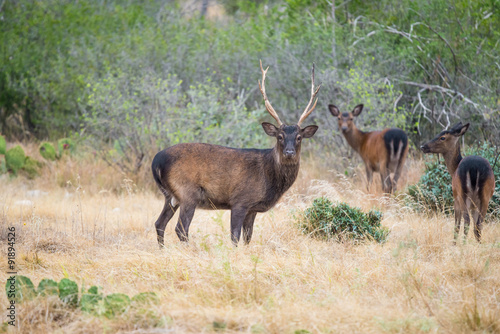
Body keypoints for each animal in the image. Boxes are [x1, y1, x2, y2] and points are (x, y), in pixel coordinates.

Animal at [152, 61, 320, 247]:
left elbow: (248, 237)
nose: (289, 152)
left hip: (171, 195)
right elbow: (234, 236)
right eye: (280, 136)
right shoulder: (240, 201)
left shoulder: (252, 208)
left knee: (159, 223)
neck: (268, 175)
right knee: (180, 228)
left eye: (299, 137)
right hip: (187, 192)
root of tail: (156, 161)